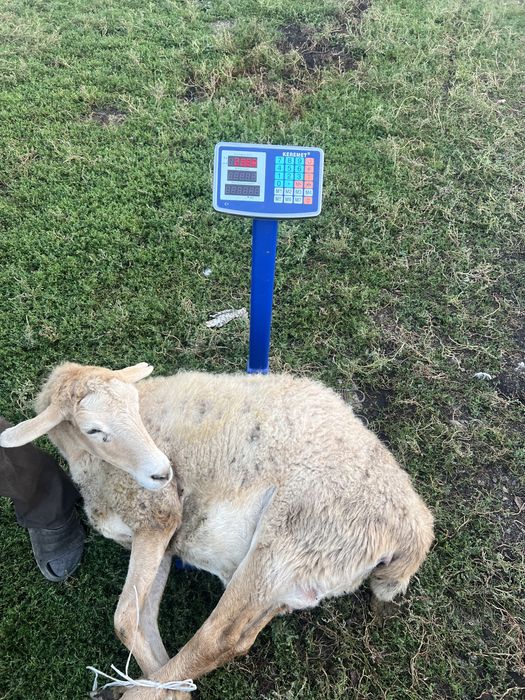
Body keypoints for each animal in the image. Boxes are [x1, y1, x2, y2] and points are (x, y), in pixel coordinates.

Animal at [0, 362, 434, 700]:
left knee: (218, 637)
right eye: (93, 429)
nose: (163, 472)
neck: (93, 465)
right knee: (242, 637)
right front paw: (166, 685)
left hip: (288, 538)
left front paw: (163, 690)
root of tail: (413, 528)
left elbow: (124, 619)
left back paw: (137, 690)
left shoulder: (158, 514)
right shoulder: (161, 539)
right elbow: (140, 619)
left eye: (135, 408)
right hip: (300, 572)